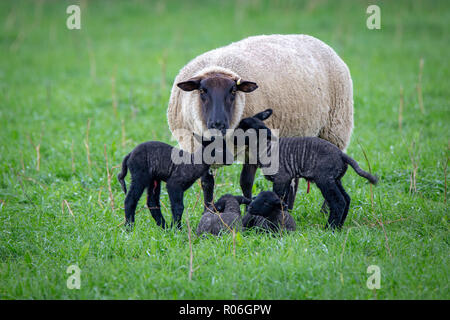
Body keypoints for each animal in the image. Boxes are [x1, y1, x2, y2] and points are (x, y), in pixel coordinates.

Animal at [237, 109, 378, 229]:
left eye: (244, 128)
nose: (232, 136)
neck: (266, 147)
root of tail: (342, 155)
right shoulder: (286, 179)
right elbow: (285, 201)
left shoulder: (281, 178)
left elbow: (279, 199)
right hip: (336, 179)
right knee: (347, 199)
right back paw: (339, 226)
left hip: (325, 179)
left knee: (338, 201)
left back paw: (330, 228)